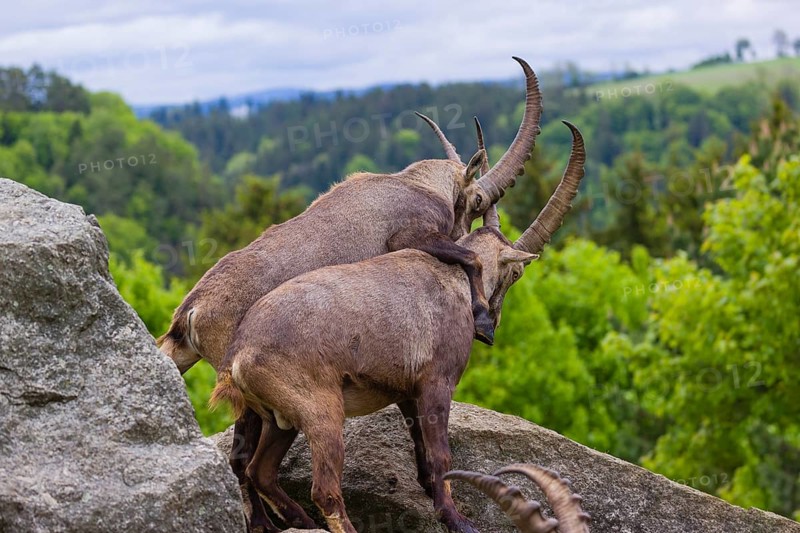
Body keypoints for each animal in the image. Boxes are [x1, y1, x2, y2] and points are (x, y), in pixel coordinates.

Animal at [211, 121, 585, 533]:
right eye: (516, 273)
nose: (491, 325)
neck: (454, 279)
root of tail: (238, 357)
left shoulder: (408, 390)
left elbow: (422, 451)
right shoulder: (438, 383)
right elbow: (441, 457)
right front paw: (457, 520)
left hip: (282, 421)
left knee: (260, 470)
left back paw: (299, 520)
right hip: (322, 414)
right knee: (323, 489)